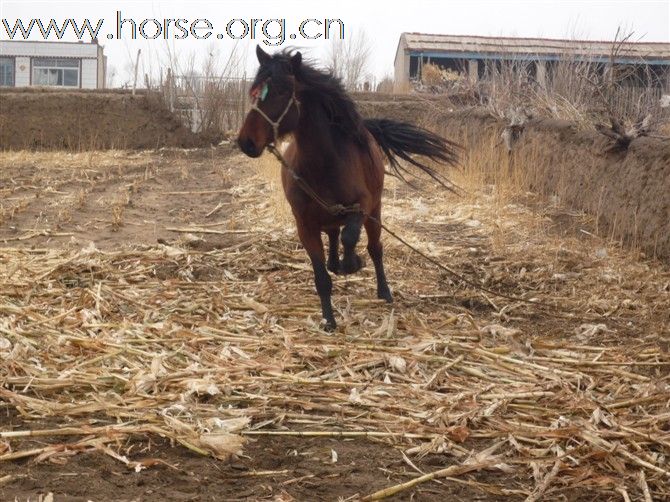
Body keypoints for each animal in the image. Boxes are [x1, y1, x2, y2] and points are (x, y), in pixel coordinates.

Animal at [238, 46, 462, 330]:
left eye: (280, 91)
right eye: (254, 90)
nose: (246, 142)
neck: (325, 164)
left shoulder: (361, 207)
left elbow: (351, 237)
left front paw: (353, 264)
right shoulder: (305, 225)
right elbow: (321, 275)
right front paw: (329, 319)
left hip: (375, 212)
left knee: (374, 248)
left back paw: (382, 290)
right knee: (334, 235)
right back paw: (337, 263)